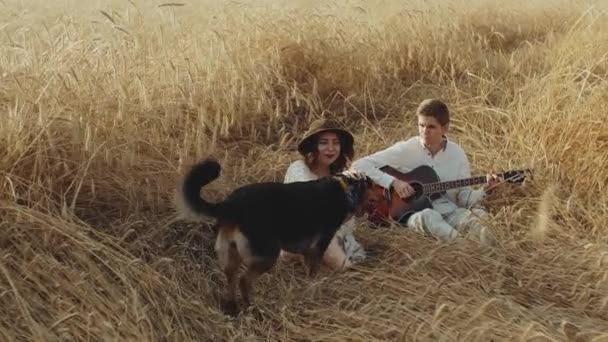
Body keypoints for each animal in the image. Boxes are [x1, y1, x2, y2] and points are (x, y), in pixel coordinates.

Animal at [175, 158, 384, 316]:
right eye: (374, 184)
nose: (385, 194)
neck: (344, 189)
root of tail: (230, 205)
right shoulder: (320, 245)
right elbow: (313, 276)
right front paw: (312, 294)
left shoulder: (306, 250)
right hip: (267, 255)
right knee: (244, 281)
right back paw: (253, 308)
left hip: (231, 253)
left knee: (231, 279)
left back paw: (233, 309)